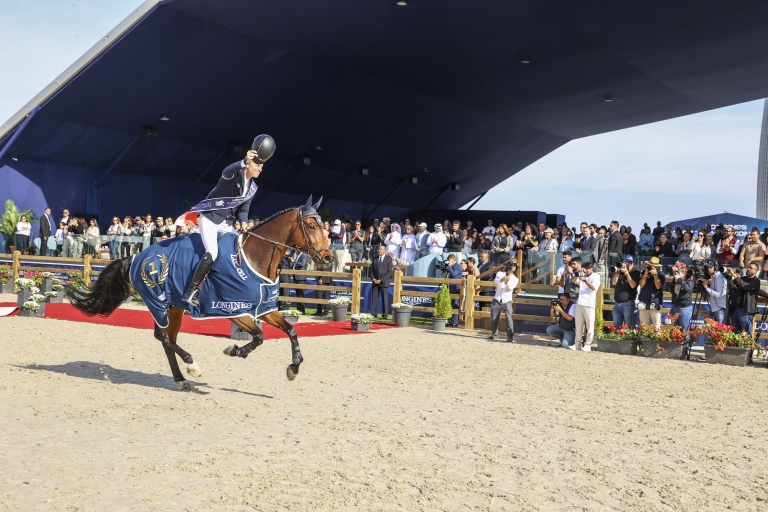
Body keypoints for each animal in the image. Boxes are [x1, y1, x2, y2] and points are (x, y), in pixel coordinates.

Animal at [67, 196, 330, 388]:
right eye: (310, 226)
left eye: (325, 229)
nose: (327, 258)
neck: (253, 259)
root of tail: (137, 256)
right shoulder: (231, 309)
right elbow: (259, 336)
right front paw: (236, 350)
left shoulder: (264, 309)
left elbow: (291, 330)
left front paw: (294, 367)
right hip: (158, 303)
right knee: (163, 337)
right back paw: (191, 365)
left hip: (174, 308)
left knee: (168, 339)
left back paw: (181, 378)